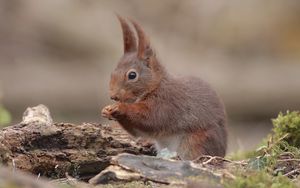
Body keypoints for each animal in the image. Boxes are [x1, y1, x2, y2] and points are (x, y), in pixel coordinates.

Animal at [101, 16, 227, 160]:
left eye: (132, 75)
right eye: (112, 72)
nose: (113, 96)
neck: (156, 86)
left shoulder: (168, 103)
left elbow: (151, 119)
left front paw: (120, 107)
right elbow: (138, 131)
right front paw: (106, 110)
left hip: (197, 142)